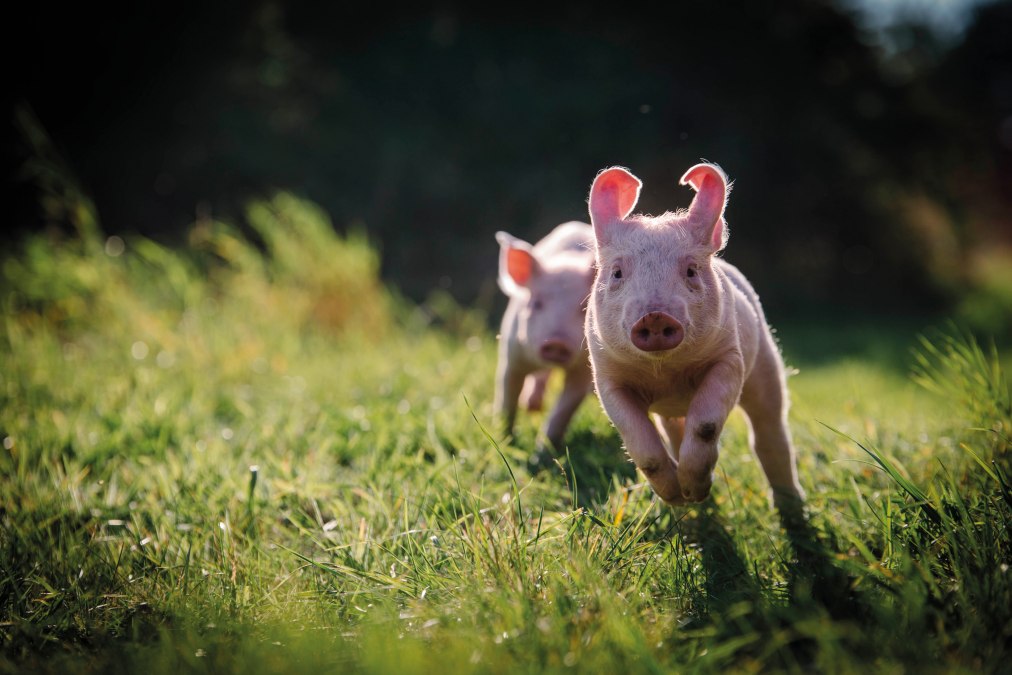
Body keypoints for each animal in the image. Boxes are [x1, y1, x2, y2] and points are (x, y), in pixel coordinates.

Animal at [494, 221, 595, 456]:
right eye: (536, 303)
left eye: (584, 309)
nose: (556, 342)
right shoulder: (511, 354)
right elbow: (507, 398)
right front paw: (505, 439)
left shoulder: (583, 371)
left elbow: (564, 409)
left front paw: (543, 454)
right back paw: (531, 405)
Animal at [585, 163, 804, 511]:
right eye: (617, 273)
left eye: (690, 271)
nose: (655, 316)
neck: (666, 373)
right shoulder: (607, 377)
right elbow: (641, 442)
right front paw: (677, 497)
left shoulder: (729, 358)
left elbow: (706, 424)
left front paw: (694, 491)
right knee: (675, 429)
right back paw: (693, 506)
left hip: (766, 365)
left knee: (769, 432)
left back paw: (791, 508)